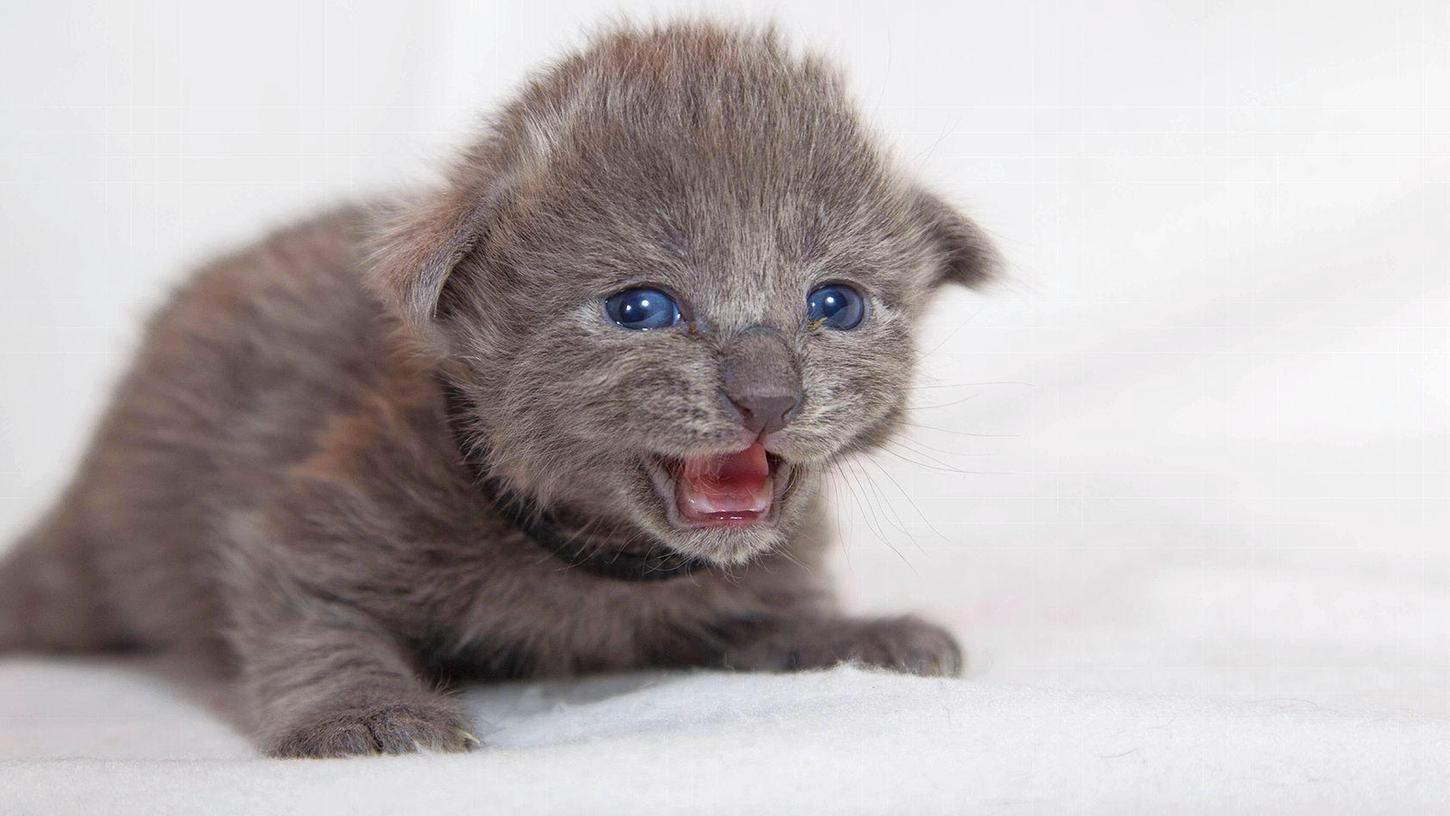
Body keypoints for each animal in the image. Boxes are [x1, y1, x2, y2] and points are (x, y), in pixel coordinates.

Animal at [0, 20, 997, 759]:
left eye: (836, 304)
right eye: (642, 308)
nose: (769, 395)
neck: (594, 564)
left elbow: (769, 611)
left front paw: (857, 635)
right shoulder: (323, 505)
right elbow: (307, 610)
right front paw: (365, 715)